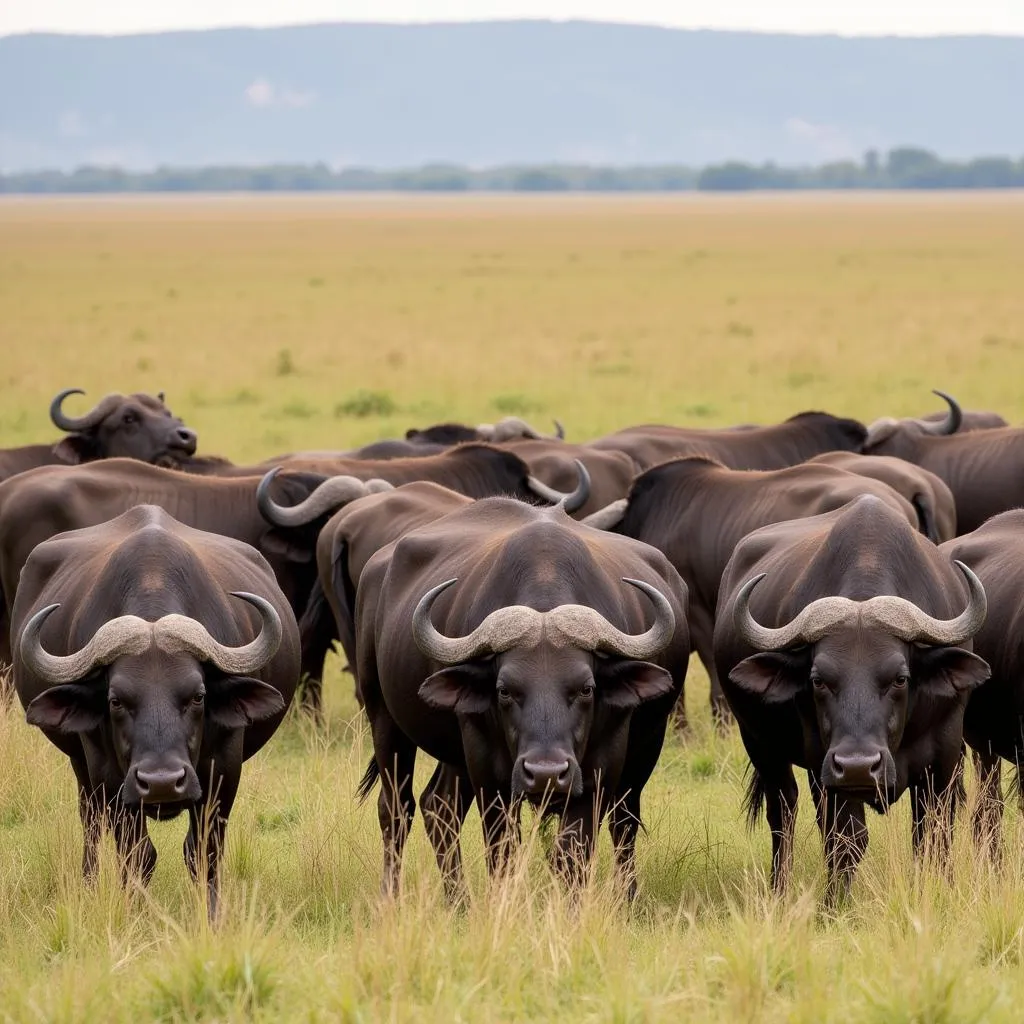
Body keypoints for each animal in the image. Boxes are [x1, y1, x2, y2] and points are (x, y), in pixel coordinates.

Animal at [12, 503, 299, 913]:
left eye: (198, 696)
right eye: (115, 700)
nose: (162, 782)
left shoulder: (224, 765)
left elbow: (203, 850)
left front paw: (211, 912)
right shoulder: (108, 773)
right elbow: (137, 853)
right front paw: (134, 910)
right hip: (79, 763)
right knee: (90, 820)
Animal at [352, 499, 688, 901]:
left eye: (586, 688)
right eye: (505, 690)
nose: (545, 773)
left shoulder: (601, 766)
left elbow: (573, 850)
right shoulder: (487, 768)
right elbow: (502, 849)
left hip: (643, 748)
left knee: (442, 805)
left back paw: (460, 901)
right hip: (383, 716)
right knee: (396, 810)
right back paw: (394, 897)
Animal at [712, 499, 983, 901]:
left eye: (901, 678)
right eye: (818, 680)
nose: (858, 765)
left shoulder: (945, 756)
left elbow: (933, 832)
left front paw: (941, 890)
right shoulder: (824, 770)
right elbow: (845, 839)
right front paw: (834, 903)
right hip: (760, 744)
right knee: (783, 811)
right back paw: (779, 890)